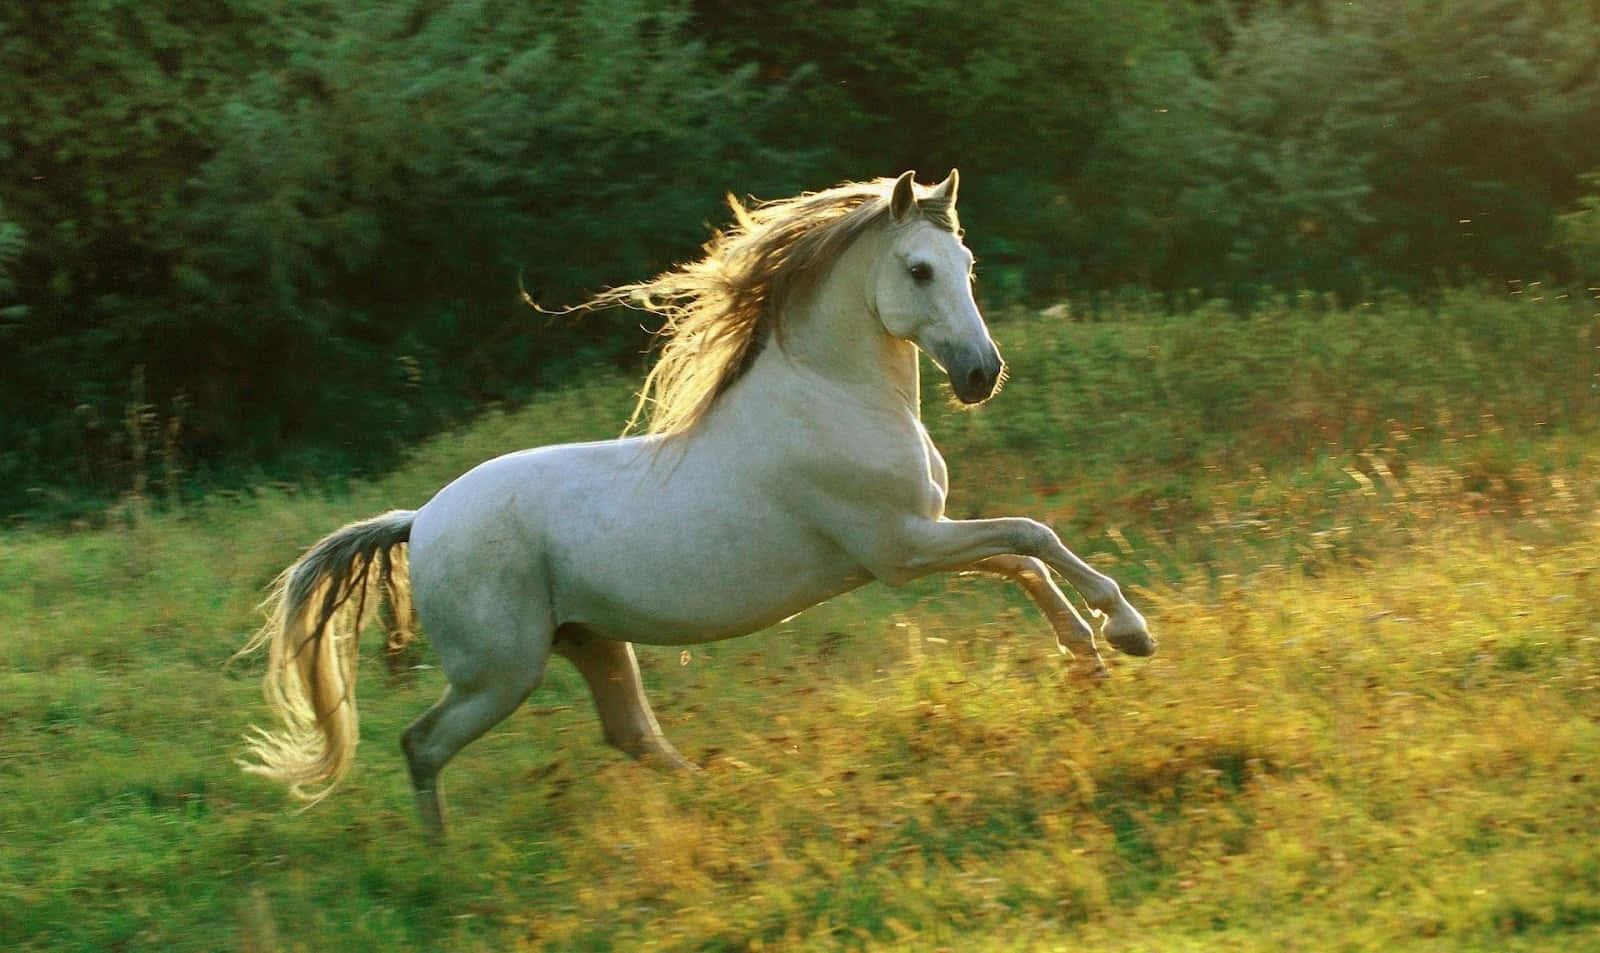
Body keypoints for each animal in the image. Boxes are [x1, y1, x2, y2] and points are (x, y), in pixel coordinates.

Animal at [235, 170, 1155, 835]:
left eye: (966, 268)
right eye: (919, 269)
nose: (980, 374)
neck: (832, 397)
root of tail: (419, 520)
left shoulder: (918, 540)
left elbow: (1023, 559)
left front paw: (1090, 655)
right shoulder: (901, 548)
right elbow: (1032, 537)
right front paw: (1126, 630)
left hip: (589, 641)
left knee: (630, 735)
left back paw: (724, 794)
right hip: (501, 671)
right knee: (422, 743)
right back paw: (445, 859)